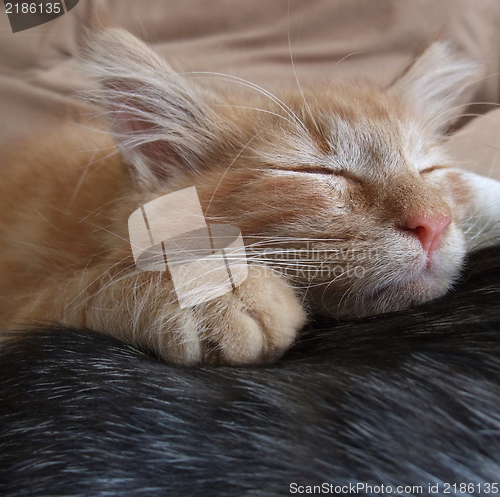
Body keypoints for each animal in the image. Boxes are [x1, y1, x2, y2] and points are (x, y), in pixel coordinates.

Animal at [0, 27, 500, 362]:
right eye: (315, 171)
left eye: (429, 170)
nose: (434, 222)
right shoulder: (20, 299)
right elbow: (78, 288)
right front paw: (210, 290)